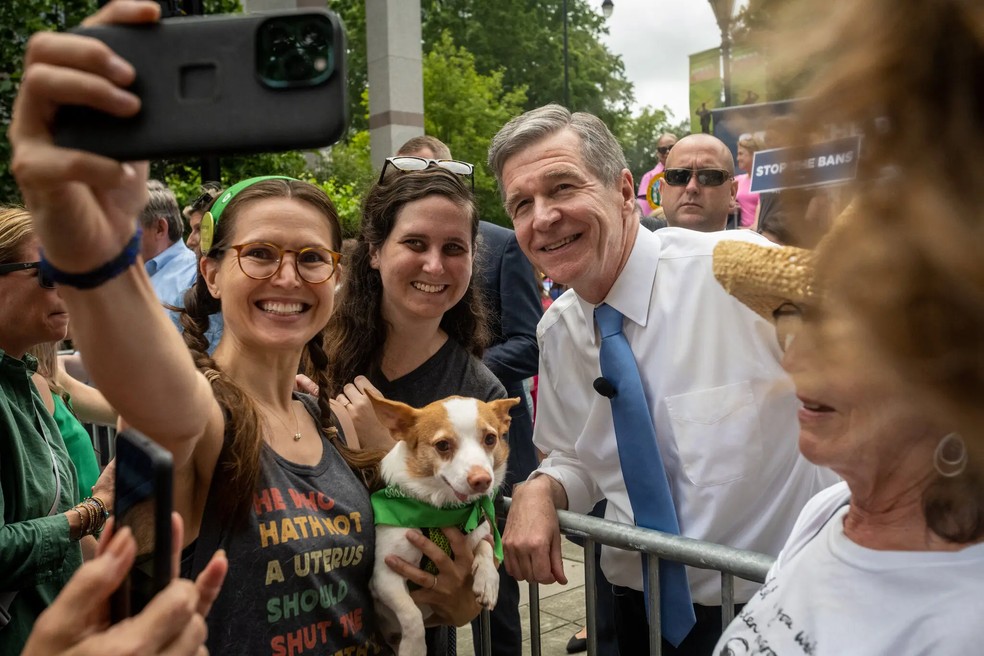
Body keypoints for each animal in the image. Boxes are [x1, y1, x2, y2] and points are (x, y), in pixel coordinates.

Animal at [368, 394, 524, 656]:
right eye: (442, 445)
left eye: (490, 439)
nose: (482, 480)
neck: (442, 510)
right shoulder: (384, 576)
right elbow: (411, 613)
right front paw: (414, 647)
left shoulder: (481, 531)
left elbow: (485, 547)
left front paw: (488, 581)